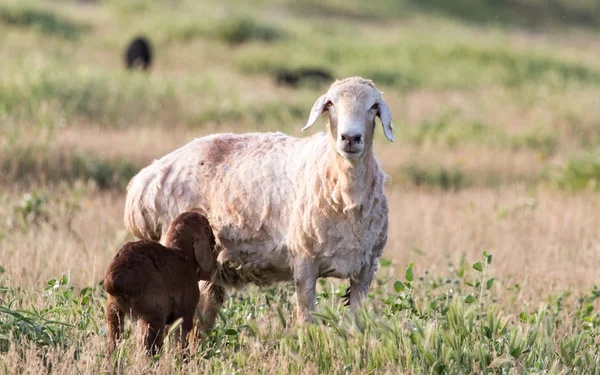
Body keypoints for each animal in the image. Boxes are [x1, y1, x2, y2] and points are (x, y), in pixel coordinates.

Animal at [104, 212, 217, 356]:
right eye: (208, 228)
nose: (215, 241)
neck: (181, 254)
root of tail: (114, 278)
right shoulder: (185, 313)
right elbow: (181, 343)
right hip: (153, 314)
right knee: (147, 348)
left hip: (113, 312)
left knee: (113, 343)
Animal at [123, 76, 394, 326]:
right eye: (330, 104)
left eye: (373, 106)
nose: (350, 138)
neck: (344, 189)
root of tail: (145, 180)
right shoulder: (304, 263)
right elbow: (306, 320)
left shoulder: (365, 270)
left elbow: (358, 324)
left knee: (202, 317)